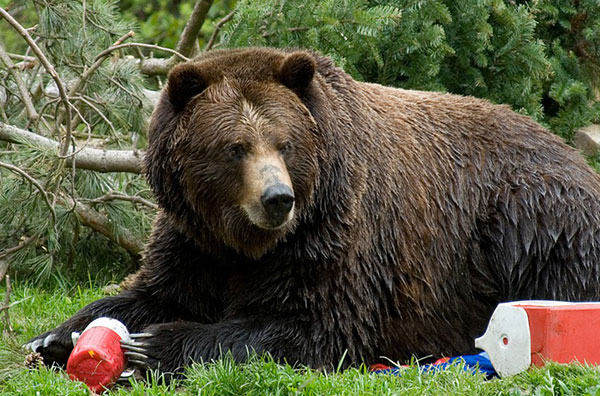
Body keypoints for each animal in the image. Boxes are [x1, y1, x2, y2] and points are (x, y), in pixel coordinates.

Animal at [29, 46, 600, 374]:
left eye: (285, 143)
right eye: (234, 147)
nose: (277, 199)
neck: (246, 242)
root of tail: (573, 155)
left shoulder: (334, 236)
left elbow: (313, 324)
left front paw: (157, 345)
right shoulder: (193, 239)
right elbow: (151, 290)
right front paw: (54, 337)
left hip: (530, 218)